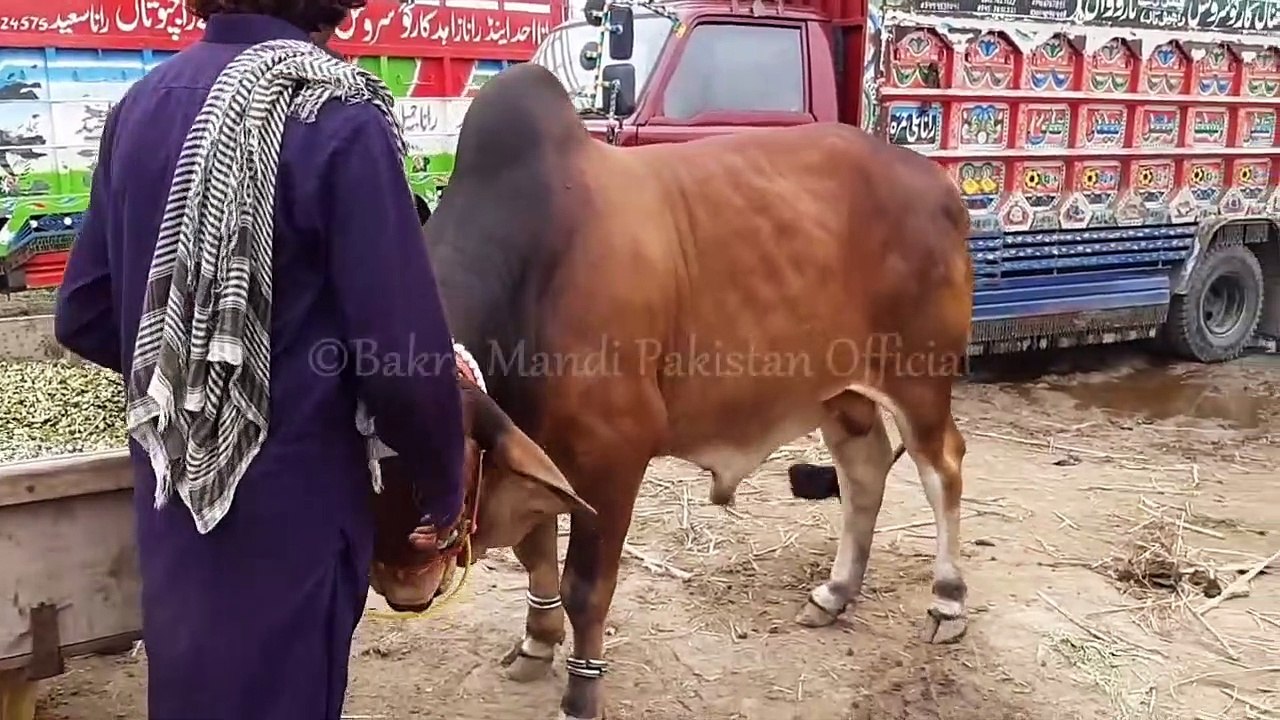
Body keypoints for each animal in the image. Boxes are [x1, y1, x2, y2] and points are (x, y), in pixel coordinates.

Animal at [369, 62, 975, 720]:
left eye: (448, 470)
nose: (403, 588)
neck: (532, 267)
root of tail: (940, 184)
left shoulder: (611, 458)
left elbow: (586, 586)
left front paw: (582, 690)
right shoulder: (532, 444)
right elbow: (536, 556)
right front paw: (536, 643)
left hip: (919, 377)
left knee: (942, 467)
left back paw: (946, 600)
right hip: (841, 392)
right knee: (864, 471)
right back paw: (834, 593)